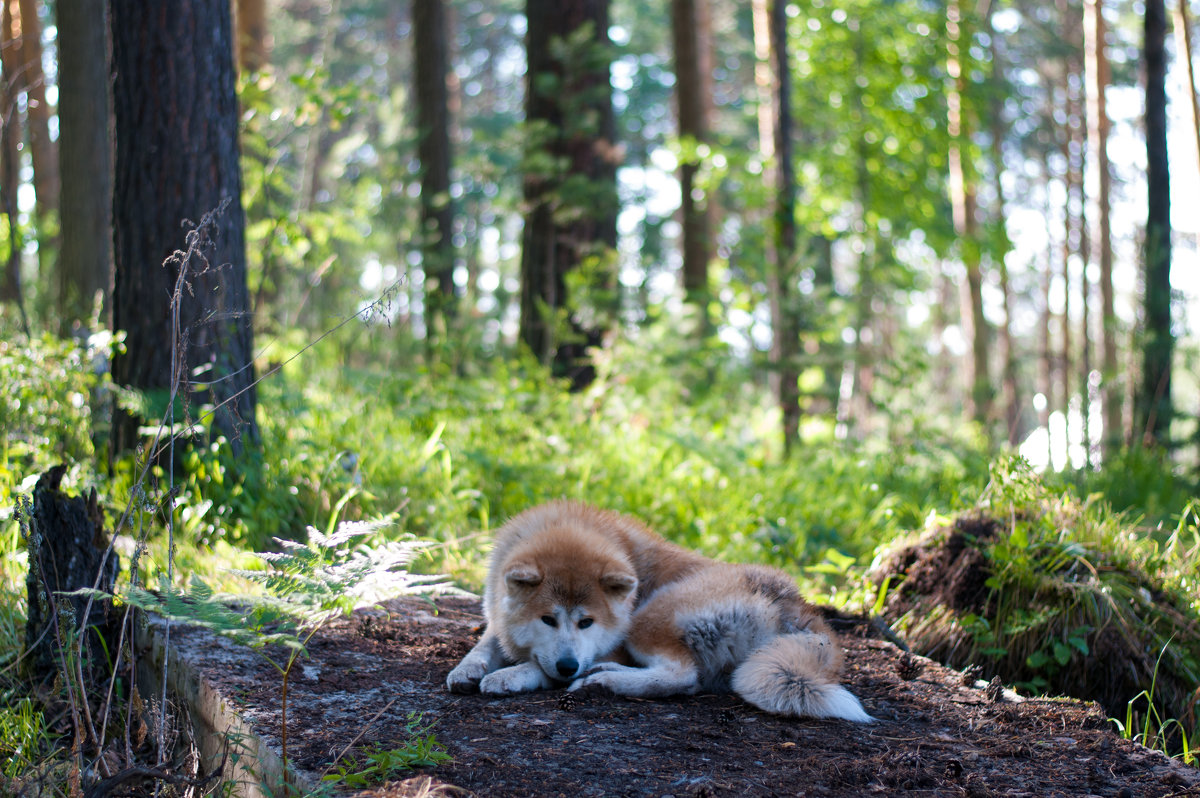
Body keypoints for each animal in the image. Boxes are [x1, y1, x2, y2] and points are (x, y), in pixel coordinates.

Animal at [446, 501, 868, 720]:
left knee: (682, 676)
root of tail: (796, 606)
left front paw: (510, 676)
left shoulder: (609, 643)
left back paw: (603, 680)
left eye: (587, 622)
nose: (569, 666)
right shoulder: (498, 619)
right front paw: (467, 669)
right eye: (547, 619)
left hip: (650, 617)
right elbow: (484, 644)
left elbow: (538, 667)